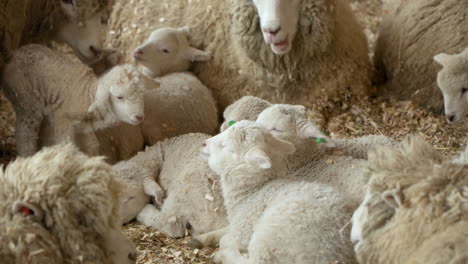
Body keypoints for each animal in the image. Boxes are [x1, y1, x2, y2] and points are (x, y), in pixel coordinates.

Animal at [1, 43, 156, 157]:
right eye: (119, 97)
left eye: (141, 94)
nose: (139, 117)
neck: (87, 95)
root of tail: (13, 55)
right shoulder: (62, 121)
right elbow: (66, 146)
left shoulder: (82, 128)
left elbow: (92, 145)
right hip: (25, 101)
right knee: (24, 135)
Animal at [200, 121, 354, 264]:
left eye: (226, 147)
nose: (203, 144)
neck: (251, 193)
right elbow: (223, 230)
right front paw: (201, 238)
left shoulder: (243, 229)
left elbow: (226, 239)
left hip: (270, 239)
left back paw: (222, 255)